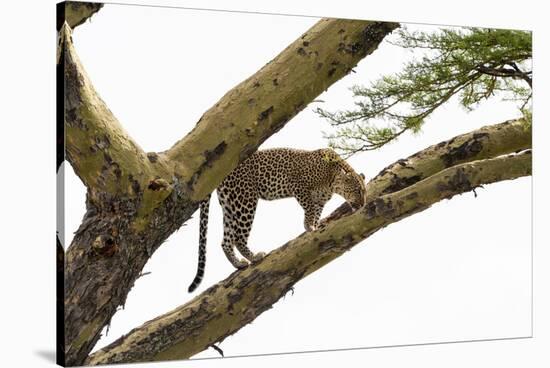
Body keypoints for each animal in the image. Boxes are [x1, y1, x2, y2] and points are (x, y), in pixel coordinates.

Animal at [188, 147, 368, 294]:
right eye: (357, 190)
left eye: (364, 192)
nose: (363, 204)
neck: (332, 178)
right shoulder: (299, 187)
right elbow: (309, 209)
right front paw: (309, 226)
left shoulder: (320, 201)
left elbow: (316, 213)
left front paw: (316, 226)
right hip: (245, 200)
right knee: (239, 237)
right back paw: (254, 257)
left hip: (230, 205)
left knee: (226, 241)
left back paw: (239, 264)